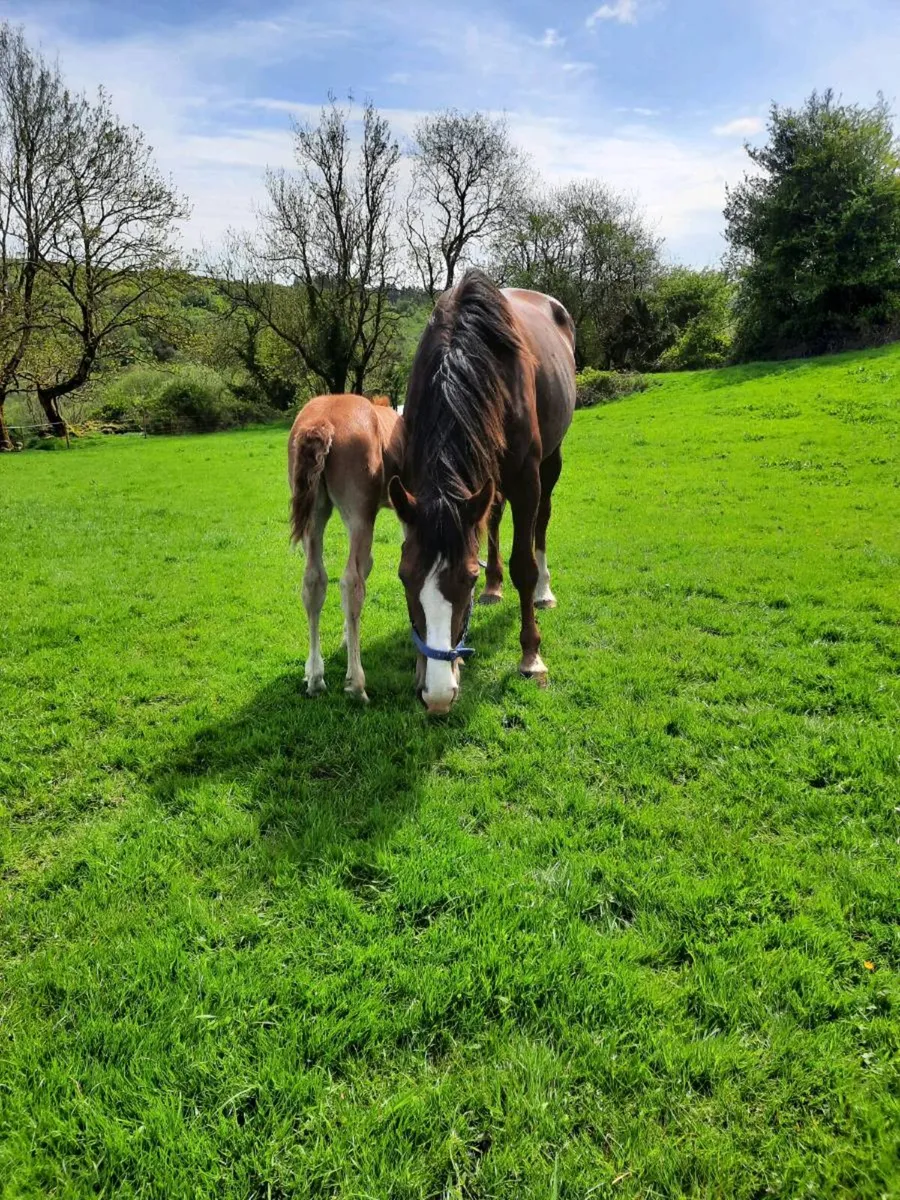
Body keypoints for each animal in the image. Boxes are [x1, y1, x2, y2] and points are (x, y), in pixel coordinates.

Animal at [288, 392, 404, 702]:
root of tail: (321, 422)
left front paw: (344, 639)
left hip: (314, 514)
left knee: (314, 580)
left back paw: (315, 677)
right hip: (360, 516)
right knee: (352, 582)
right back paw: (356, 684)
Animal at [389, 269, 576, 715]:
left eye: (468, 578)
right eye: (404, 577)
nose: (438, 695)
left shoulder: (526, 479)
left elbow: (523, 564)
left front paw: (531, 657)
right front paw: (422, 666)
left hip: (551, 461)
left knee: (542, 522)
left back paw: (544, 592)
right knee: (490, 515)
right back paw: (496, 587)